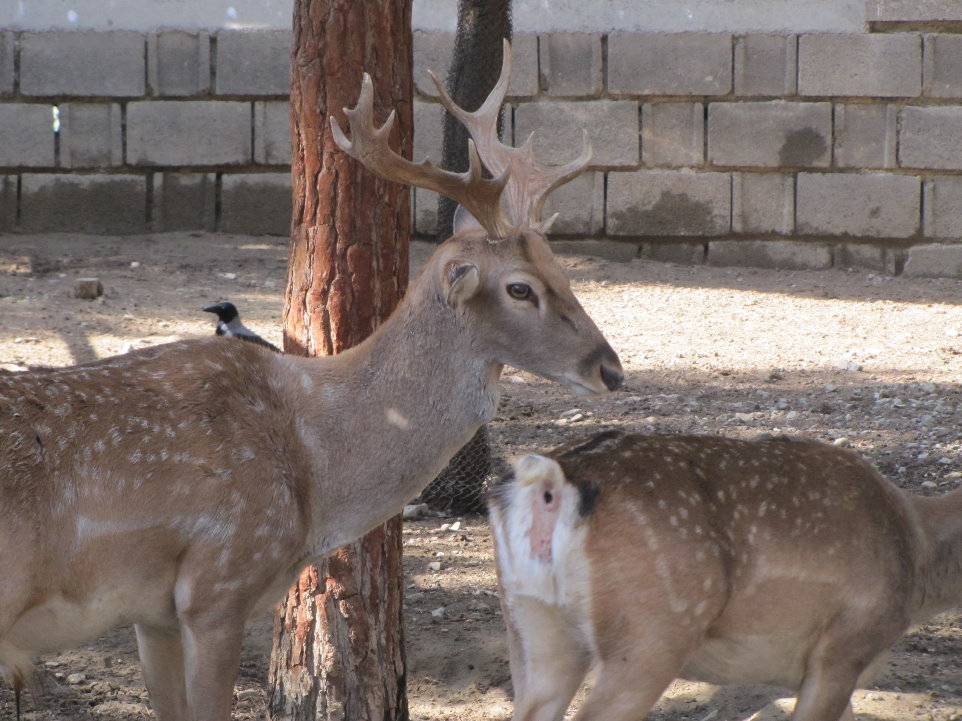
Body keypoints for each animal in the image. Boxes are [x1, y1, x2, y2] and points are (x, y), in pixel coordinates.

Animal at [0, 41, 622, 721]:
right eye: (519, 288)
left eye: (560, 268)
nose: (610, 368)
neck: (313, 480)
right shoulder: (219, 582)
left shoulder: (154, 612)